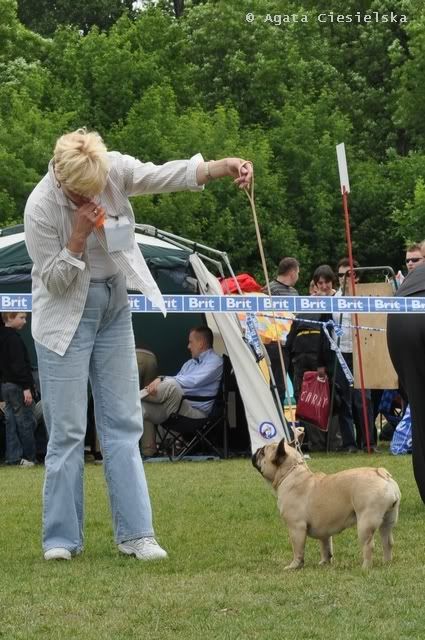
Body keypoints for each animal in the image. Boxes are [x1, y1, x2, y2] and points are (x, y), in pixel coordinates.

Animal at [252, 437, 401, 569]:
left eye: (263, 452)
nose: (256, 450)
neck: (291, 473)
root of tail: (382, 473)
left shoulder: (296, 527)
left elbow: (298, 549)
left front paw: (294, 566)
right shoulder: (324, 529)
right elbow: (325, 547)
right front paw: (324, 562)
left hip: (365, 522)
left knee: (369, 545)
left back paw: (365, 567)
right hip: (388, 520)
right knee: (387, 542)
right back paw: (386, 563)